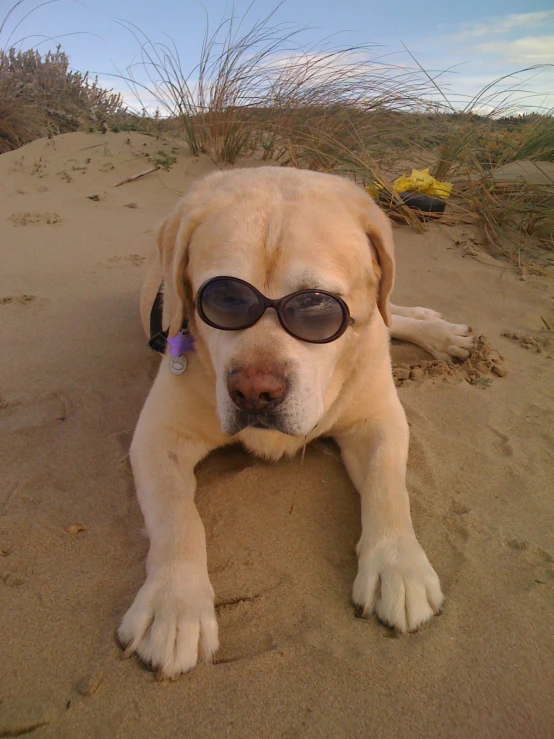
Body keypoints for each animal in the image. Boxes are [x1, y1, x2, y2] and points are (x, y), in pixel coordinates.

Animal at [118, 166, 472, 676]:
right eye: (224, 299)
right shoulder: (157, 437)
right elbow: (178, 518)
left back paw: (438, 331)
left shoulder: (380, 418)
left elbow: (389, 487)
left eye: (314, 307)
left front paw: (398, 567)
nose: (254, 392)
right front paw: (174, 603)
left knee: (389, 312)